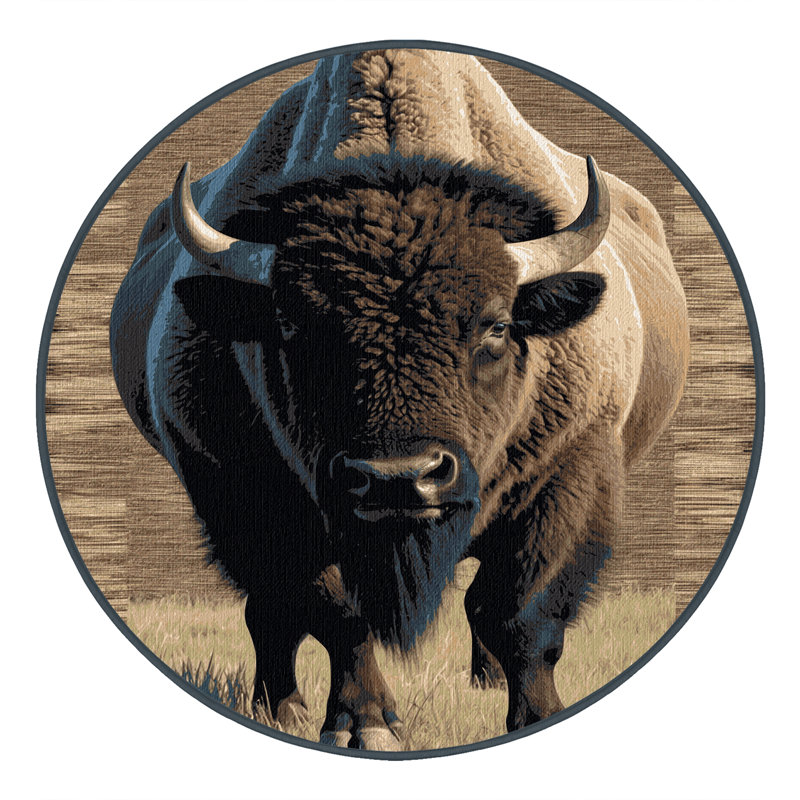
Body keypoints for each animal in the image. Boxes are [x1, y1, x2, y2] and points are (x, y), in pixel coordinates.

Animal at [111, 49, 689, 750]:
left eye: (497, 326)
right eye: (292, 327)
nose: (398, 478)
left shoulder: (570, 472)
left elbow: (518, 613)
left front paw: (537, 714)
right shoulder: (244, 491)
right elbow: (331, 609)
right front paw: (365, 726)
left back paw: (480, 682)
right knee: (269, 613)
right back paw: (280, 708)